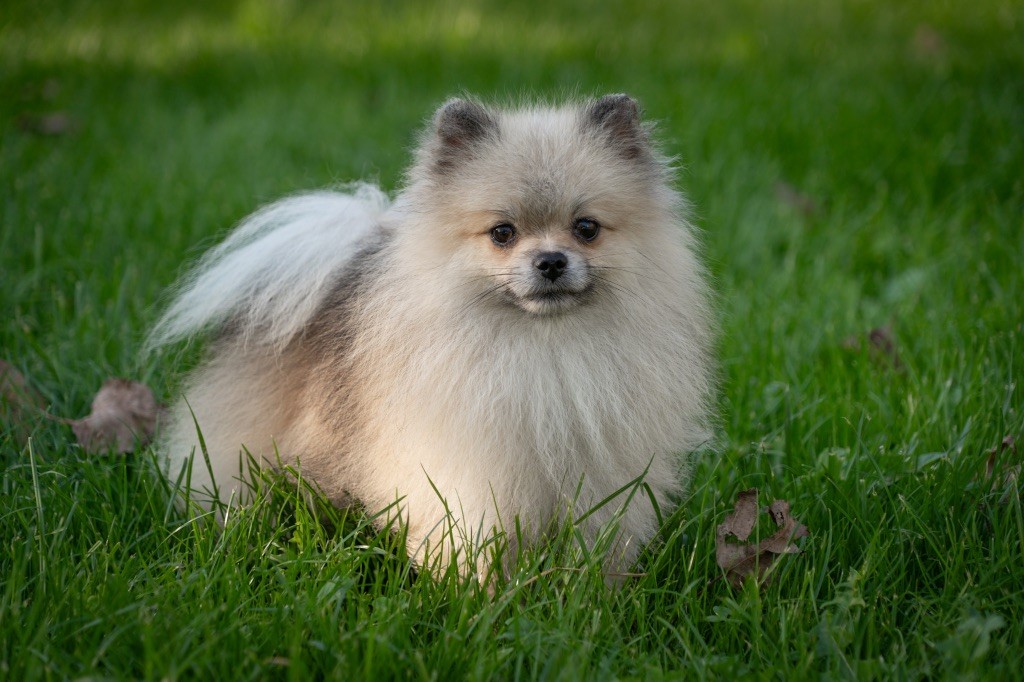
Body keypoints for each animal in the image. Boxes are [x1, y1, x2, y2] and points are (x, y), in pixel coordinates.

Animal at [149, 94, 712, 573]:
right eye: (503, 232)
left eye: (587, 228)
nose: (551, 261)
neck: (543, 348)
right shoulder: (470, 477)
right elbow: (476, 546)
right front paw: (478, 597)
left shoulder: (604, 479)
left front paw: (592, 594)